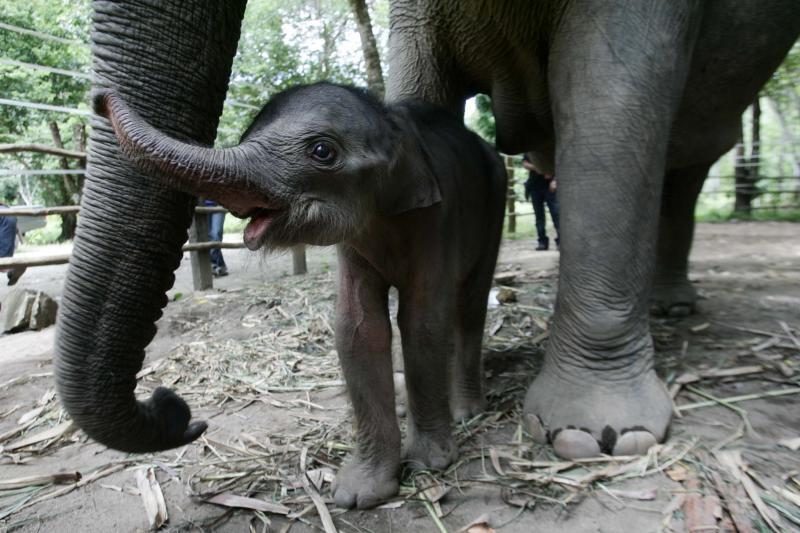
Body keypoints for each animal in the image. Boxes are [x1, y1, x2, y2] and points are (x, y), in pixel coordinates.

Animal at [95, 83, 506, 508]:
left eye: (322, 151)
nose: (99, 97)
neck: (390, 121)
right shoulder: (354, 244)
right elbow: (358, 328)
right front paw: (357, 494)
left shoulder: (437, 219)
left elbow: (421, 322)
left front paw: (429, 464)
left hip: (496, 195)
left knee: (470, 302)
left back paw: (466, 411)